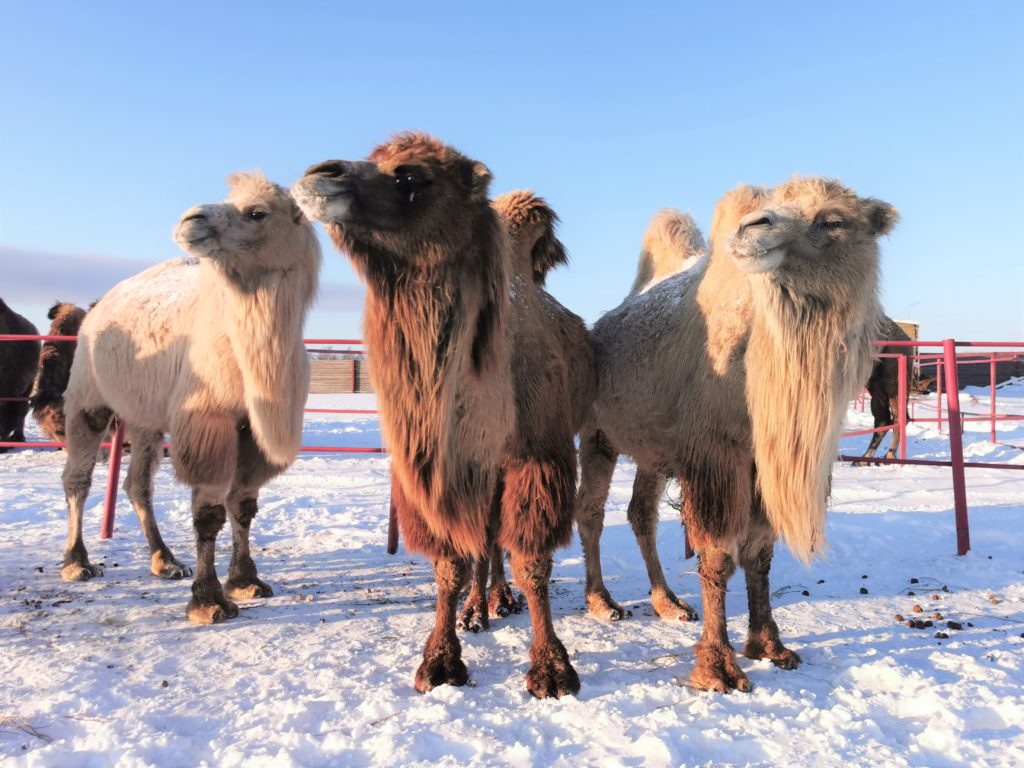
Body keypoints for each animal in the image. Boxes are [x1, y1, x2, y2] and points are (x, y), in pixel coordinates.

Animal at [58, 173, 319, 626]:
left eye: (257, 212)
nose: (190, 219)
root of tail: (97, 309)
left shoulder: (253, 430)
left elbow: (244, 505)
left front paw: (247, 581)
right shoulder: (208, 420)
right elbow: (209, 513)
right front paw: (209, 601)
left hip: (145, 417)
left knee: (138, 483)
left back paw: (164, 561)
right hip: (87, 393)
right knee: (78, 477)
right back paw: (77, 562)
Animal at [292, 135, 589, 700]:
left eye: (413, 176)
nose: (317, 174)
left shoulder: (539, 459)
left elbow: (533, 563)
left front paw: (553, 669)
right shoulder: (437, 473)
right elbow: (451, 564)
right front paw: (440, 660)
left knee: (497, 542)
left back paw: (499, 602)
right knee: (484, 542)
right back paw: (480, 609)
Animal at [577, 179, 897, 692]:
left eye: (833, 220)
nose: (753, 227)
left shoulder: (757, 461)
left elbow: (760, 554)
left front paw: (770, 646)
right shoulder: (715, 456)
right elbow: (718, 555)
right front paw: (717, 667)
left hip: (652, 450)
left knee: (641, 514)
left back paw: (668, 603)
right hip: (598, 434)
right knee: (590, 511)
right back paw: (602, 602)